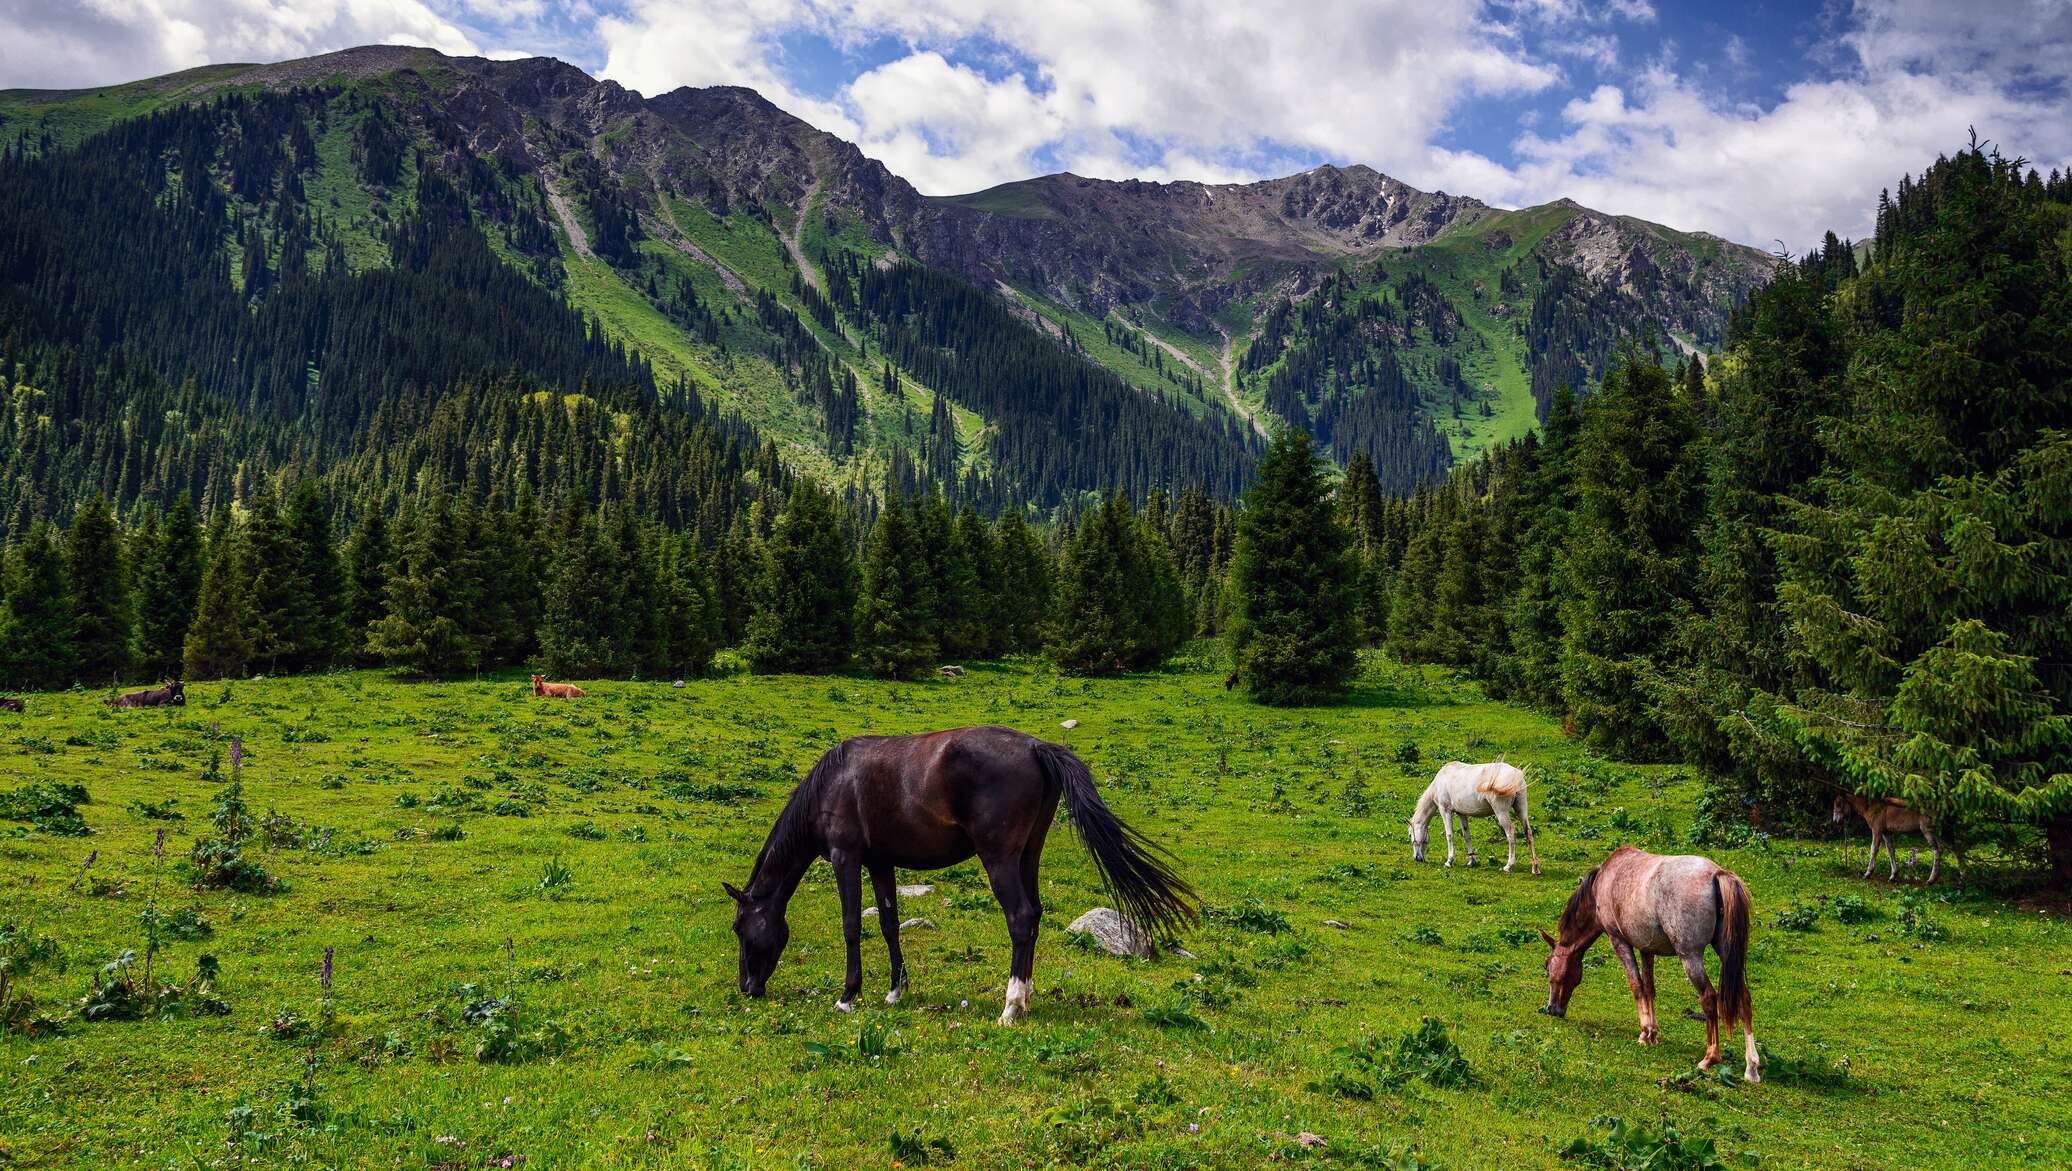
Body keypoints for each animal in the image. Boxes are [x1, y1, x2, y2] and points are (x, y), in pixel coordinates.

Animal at [725, 725, 1201, 1019]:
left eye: (740, 928)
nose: (748, 986)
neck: (834, 782)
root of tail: (1036, 748)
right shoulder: (880, 862)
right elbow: (889, 923)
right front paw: (895, 990)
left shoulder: (847, 858)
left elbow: (851, 926)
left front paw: (847, 996)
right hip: (1027, 856)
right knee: (1034, 916)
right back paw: (1026, 998)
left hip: (999, 858)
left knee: (1020, 918)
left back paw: (1010, 1007)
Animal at [1408, 762, 1541, 870]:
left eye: (1410, 835)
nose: (1417, 858)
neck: (1440, 781)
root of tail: (1516, 775)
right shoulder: (1461, 813)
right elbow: (1466, 835)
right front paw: (1472, 860)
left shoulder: (1445, 810)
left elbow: (1449, 835)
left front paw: (1449, 861)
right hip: (1521, 809)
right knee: (1528, 832)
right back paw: (1535, 868)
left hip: (1501, 812)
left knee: (1511, 833)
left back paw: (1508, 865)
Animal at [1549, 845, 1757, 1086]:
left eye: (1548, 968)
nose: (1551, 1008)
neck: (1604, 880)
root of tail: (1717, 874)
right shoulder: (1646, 949)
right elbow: (1649, 988)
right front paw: (1653, 1034)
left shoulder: (1619, 941)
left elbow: (1636, 987)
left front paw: (1644, 1032)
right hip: (1726, 954)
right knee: (1744, 998)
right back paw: (1752, 1067)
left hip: (1690, 956)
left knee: (1708, 997)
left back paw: (1710, 1058)